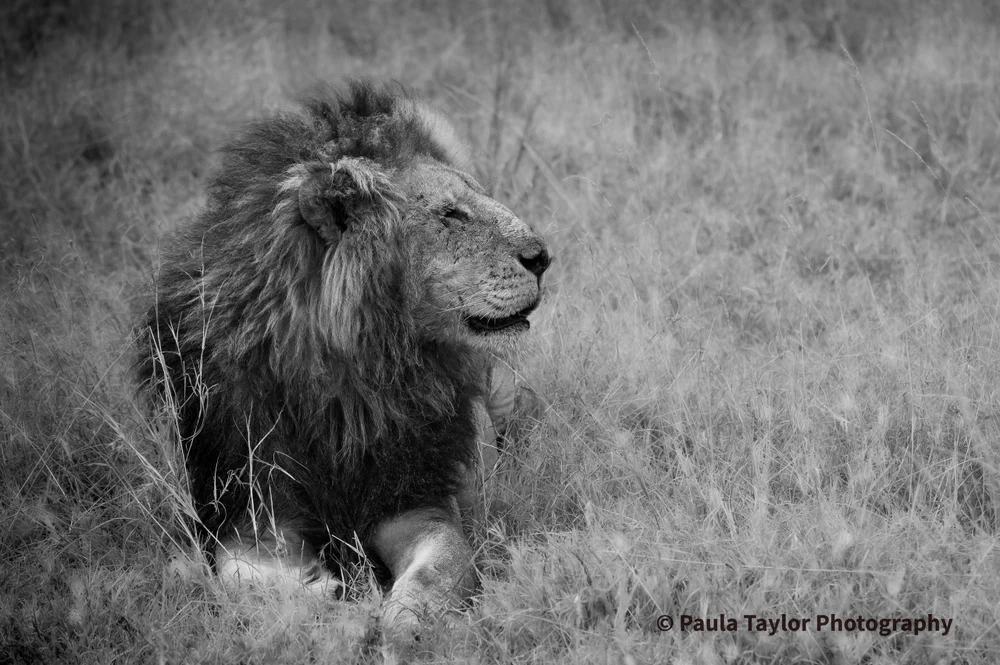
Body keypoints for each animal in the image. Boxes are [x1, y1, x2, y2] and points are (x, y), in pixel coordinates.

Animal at [135, 80, 549, 638]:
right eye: (450, 214)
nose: (543, 257)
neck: (352, 379)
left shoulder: (414, 500)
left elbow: (440, 567)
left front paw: (404, 627)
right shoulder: (254, 513)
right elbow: (242, 576)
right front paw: (327, 603)